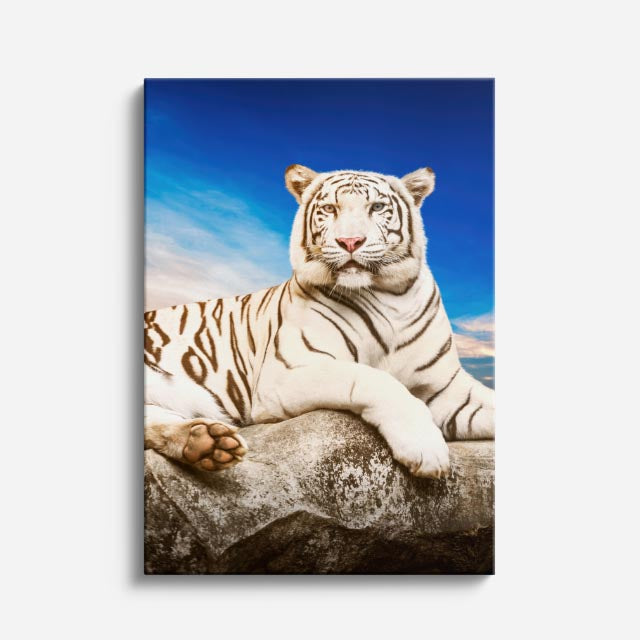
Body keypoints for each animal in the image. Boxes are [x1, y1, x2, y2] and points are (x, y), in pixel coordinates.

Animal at [144, 164, 495, 478]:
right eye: (329, 208)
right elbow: (374, 379)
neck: (391, 295)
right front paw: (425, 447)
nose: (350, 242)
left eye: (377, 207)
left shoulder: (446, 387)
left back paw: (204, 442)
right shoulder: (284, 374)